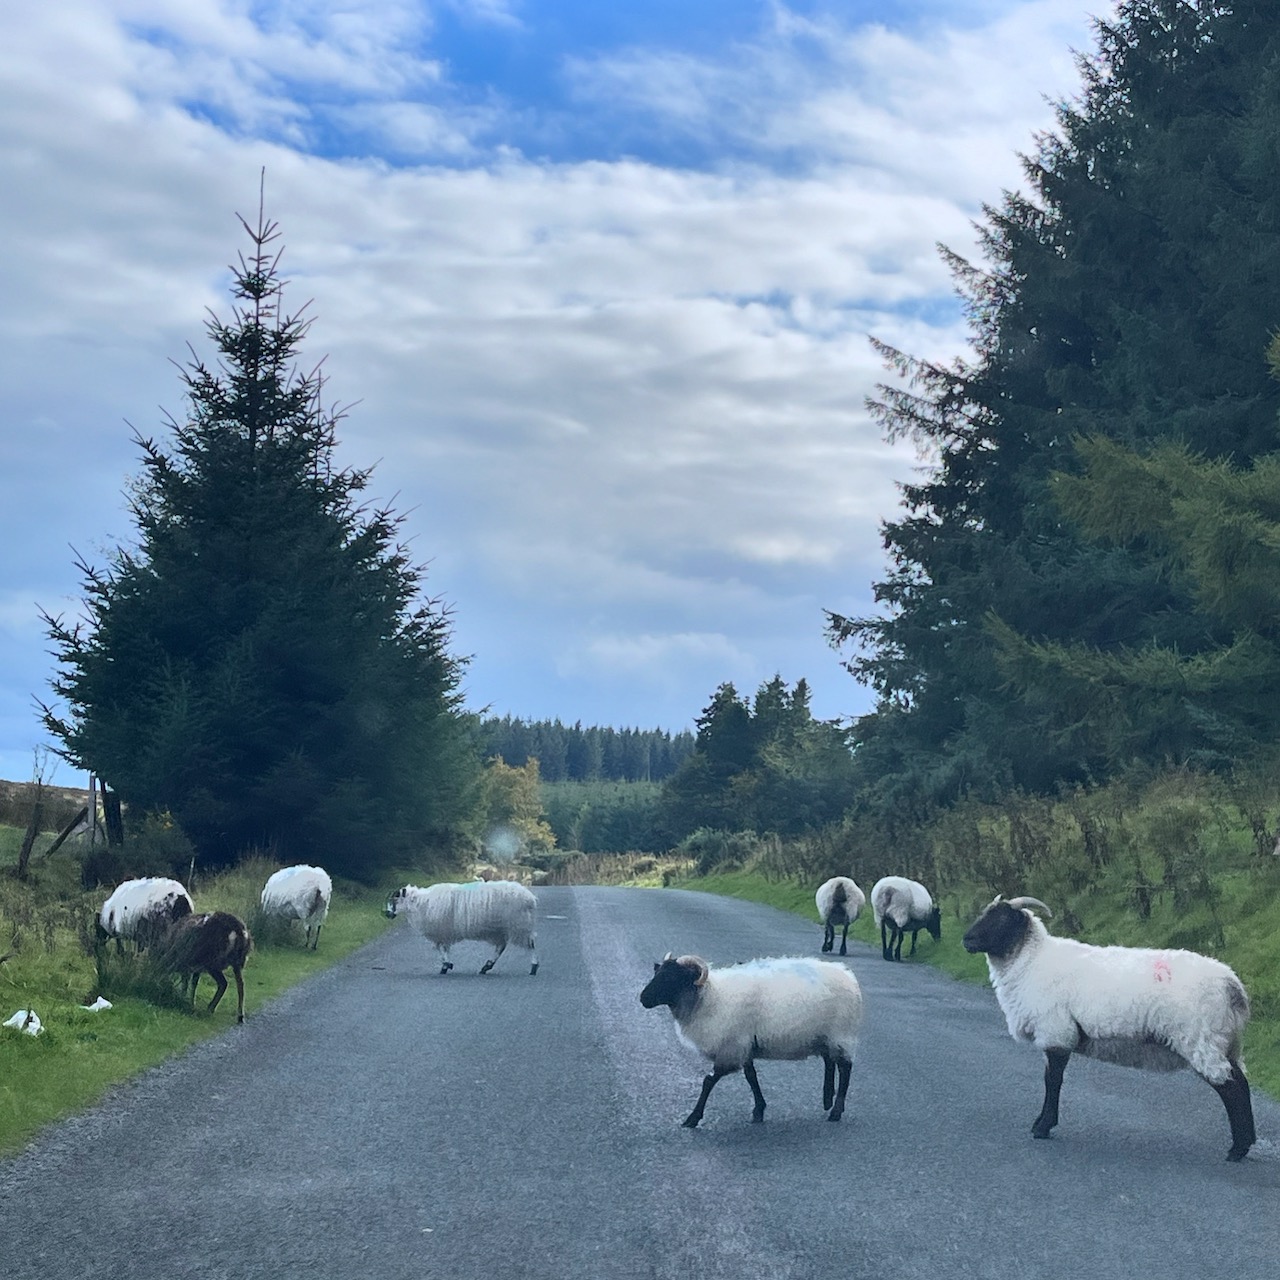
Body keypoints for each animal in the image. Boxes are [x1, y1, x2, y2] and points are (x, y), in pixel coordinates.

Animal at [384, 880, 539, 975]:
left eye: (395, 899)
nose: (387, 914)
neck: (419, 903)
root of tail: (530, 898)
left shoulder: (441, 931)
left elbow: (442, 949)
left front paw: (445, 965)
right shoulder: (443, 932)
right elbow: (444, 948)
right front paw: (447, 964)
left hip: (519, 925)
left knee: (530, 945)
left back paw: (533, 967)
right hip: (501, 929)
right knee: (501, 947)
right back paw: (486, 966)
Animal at [639, 953, 864, 1127]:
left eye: (672, 977)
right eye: (657, 973)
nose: (643, 999)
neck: (710, 998)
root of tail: (848, 975)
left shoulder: (731, 1048)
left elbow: (708, 1081)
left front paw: (693, 1118)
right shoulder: (743, 1046)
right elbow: (751, 1077)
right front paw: (759, 1110)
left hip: (840, 1034)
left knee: (845, 1068)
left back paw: (835, 1111)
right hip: (824, 1036)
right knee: (829, 1062)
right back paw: (827, 1099)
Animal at [962, 895, 1255, 1162]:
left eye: (1001, 918)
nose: (967, 940)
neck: (1031, 962)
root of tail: (1233, 986)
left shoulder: (1056, 1031)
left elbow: (1052, 1081)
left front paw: (1043, 1127)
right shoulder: (1055, 1034)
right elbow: (1050, 1079)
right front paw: (1040, 1123)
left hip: (1201, 1039)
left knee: (1231, 1087)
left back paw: (1237, 1150)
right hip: (1225, 1041)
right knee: (1241, 1082)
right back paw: (1246, 1142)